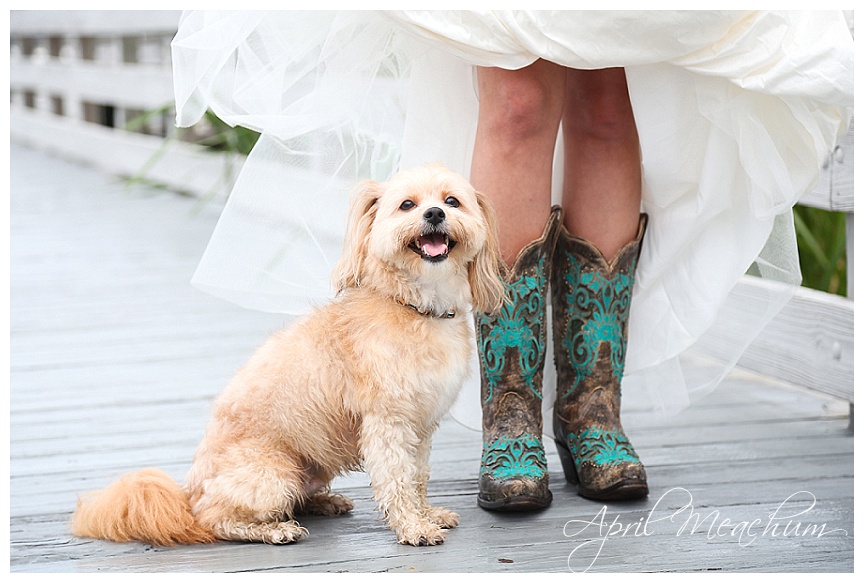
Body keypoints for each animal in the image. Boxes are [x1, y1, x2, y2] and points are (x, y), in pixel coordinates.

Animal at [74, 164, 510, 548]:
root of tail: (188, 495)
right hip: (273, 476)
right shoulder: (388, 425)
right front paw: (413, 528)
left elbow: (417, 477)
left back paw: (324, 502)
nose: (434, 213)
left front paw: (428, 514)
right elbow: (397, 480)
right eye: (407, 205)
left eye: (452, 201)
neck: (413, 305)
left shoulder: (421, 427)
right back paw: (277, 531)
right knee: (218, 521)